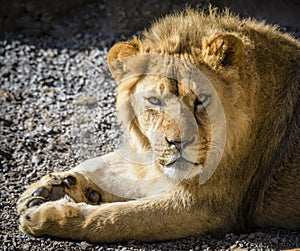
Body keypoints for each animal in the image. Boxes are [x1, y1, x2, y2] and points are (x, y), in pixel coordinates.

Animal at [17, 8, 300, 242]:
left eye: (201, 100)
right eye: (154, 100)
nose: (179, 143)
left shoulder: (208, 206)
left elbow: (118, 218)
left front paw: (44, 217)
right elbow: (112, 164)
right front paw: (48, 187)